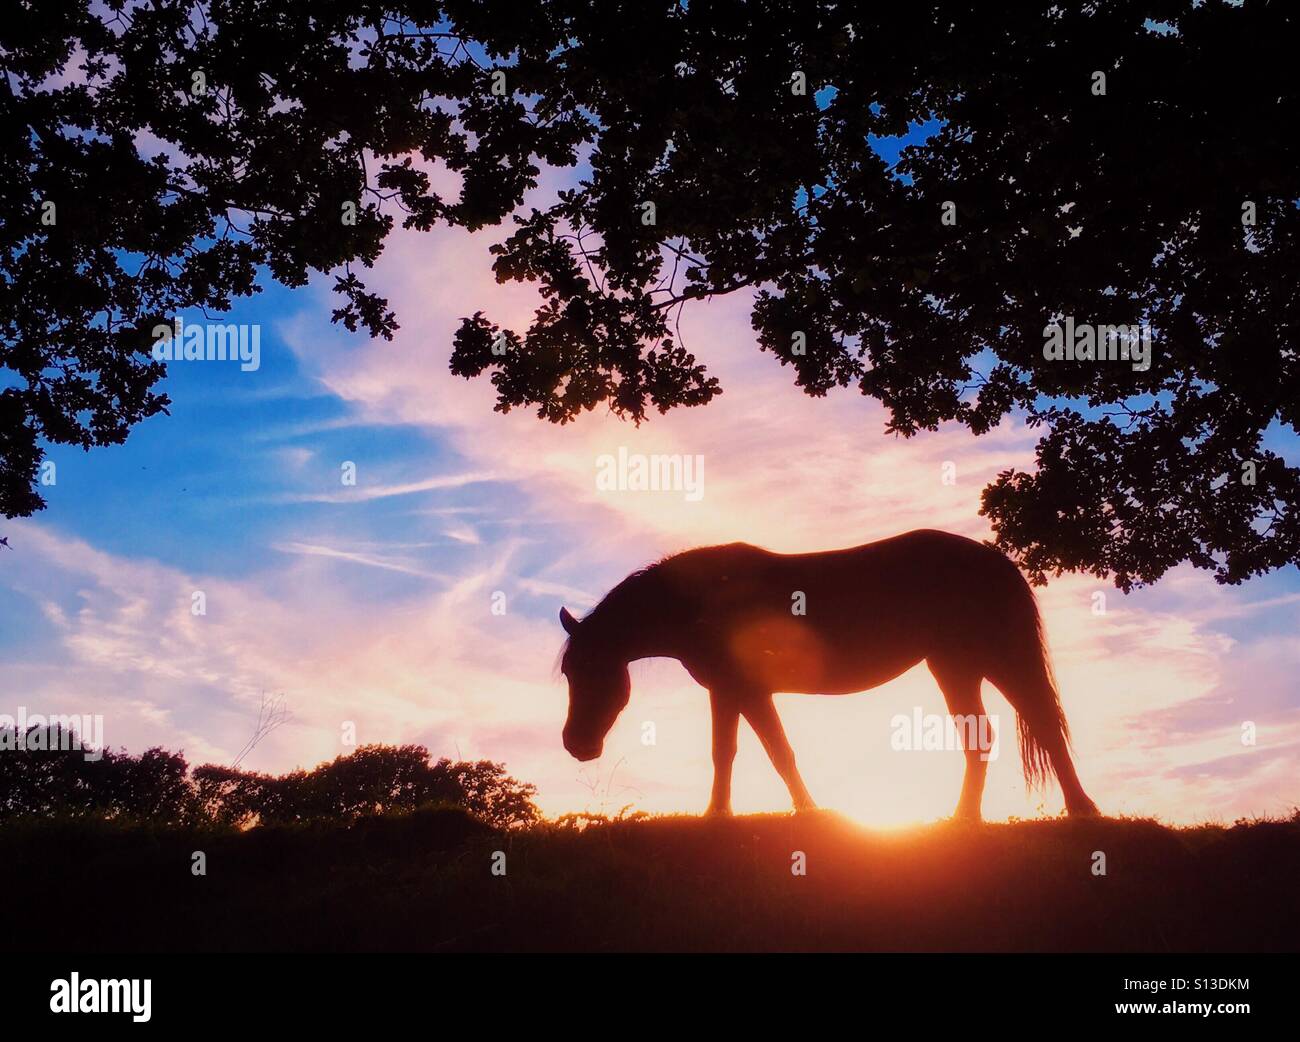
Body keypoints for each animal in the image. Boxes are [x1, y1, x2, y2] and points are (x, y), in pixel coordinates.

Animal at [557, 528, 1099, 820]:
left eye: (591, 669)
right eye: (568, 671)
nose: (576, 745)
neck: (701, 602)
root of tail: (994, 558)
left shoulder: (747, 691)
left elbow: (771, 752)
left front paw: (803, 811)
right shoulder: (730, 692)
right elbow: (732, 753)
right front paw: (721, 813)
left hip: (991, 660)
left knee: (1038, 725)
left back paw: (1078, 810)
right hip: (960, 666)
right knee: (989, 736)